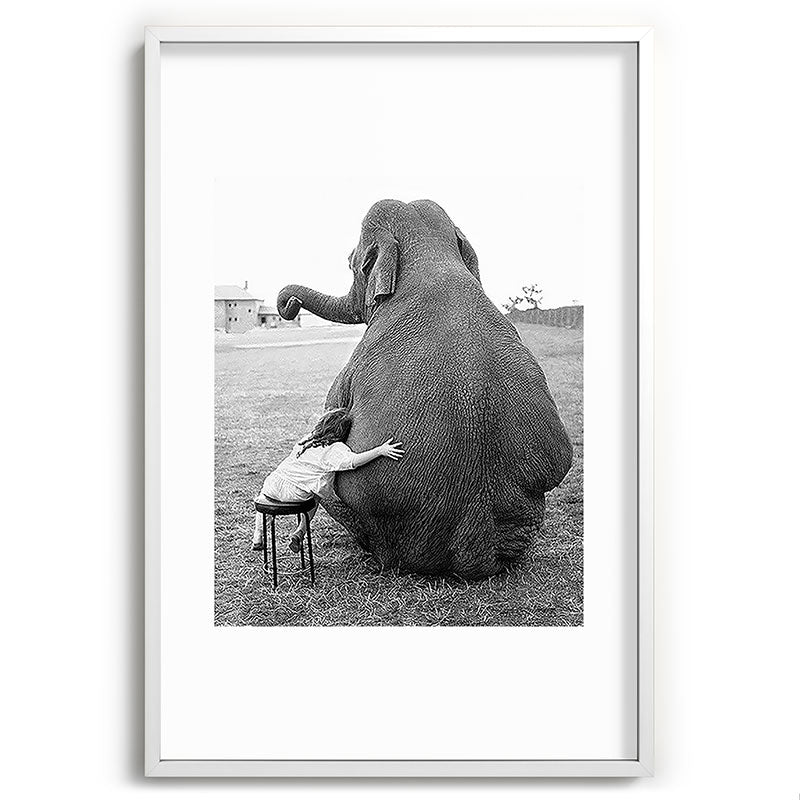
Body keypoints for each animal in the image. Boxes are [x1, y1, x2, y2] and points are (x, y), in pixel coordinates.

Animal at [277, 199, 572, 578]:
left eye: (351, 261)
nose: (289, 305)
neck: (430, 257)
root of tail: (475, 551)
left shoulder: (353, 364)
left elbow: (332, 415)